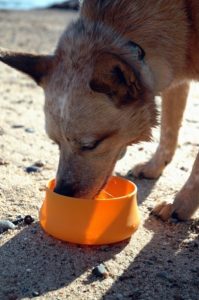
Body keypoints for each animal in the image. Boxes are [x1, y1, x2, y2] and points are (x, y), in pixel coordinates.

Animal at [0, 0, 199, 220]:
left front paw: (180, 204)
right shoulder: (175, 81)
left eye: (91, 145)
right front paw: (154, 167)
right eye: (55, 142)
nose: (62, 193)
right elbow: (168, 131)